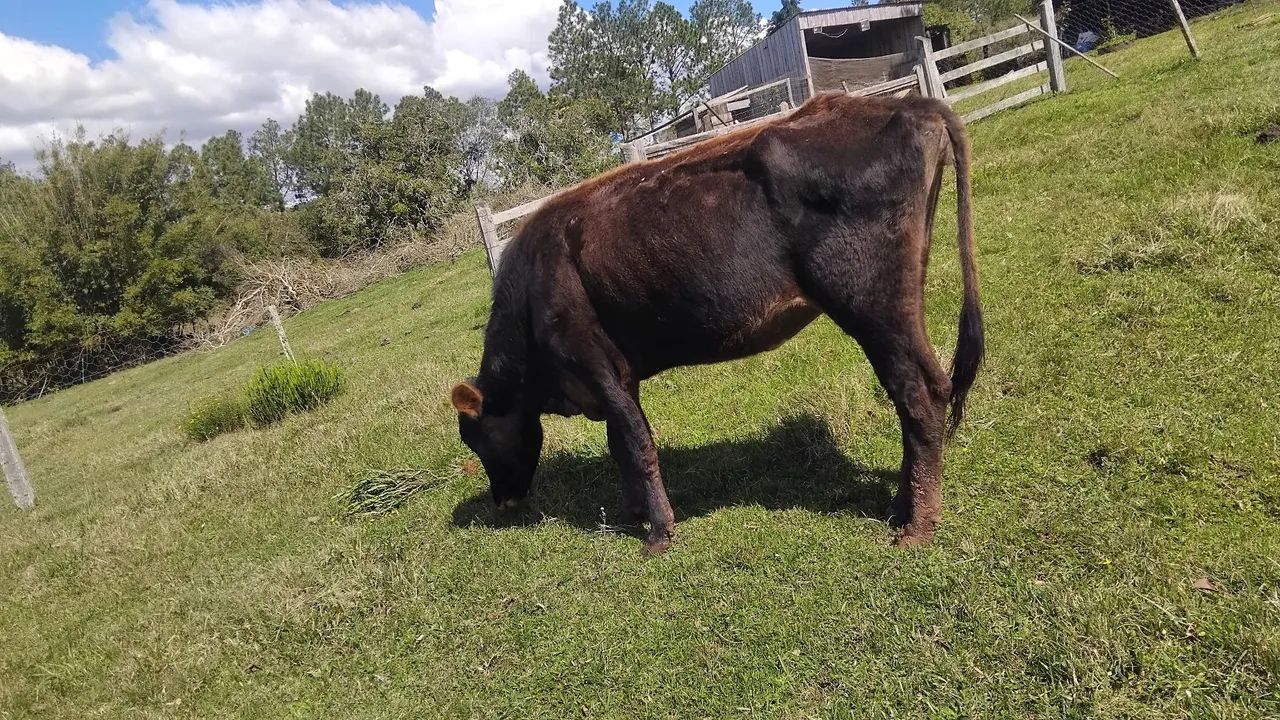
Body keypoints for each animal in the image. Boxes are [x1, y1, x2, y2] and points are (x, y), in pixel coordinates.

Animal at [450, 92, 983, 556]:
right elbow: (622, 446)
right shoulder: (620, 376)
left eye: (477, 438)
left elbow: (637, 446)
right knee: (931, 389)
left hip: (873, 307)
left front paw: (659, 534)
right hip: (900, 301)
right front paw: (631, 513)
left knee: (918, 396)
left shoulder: (595, 365)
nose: (503, 501)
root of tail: (903, 104)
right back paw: (900, 506)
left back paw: (916, 526)